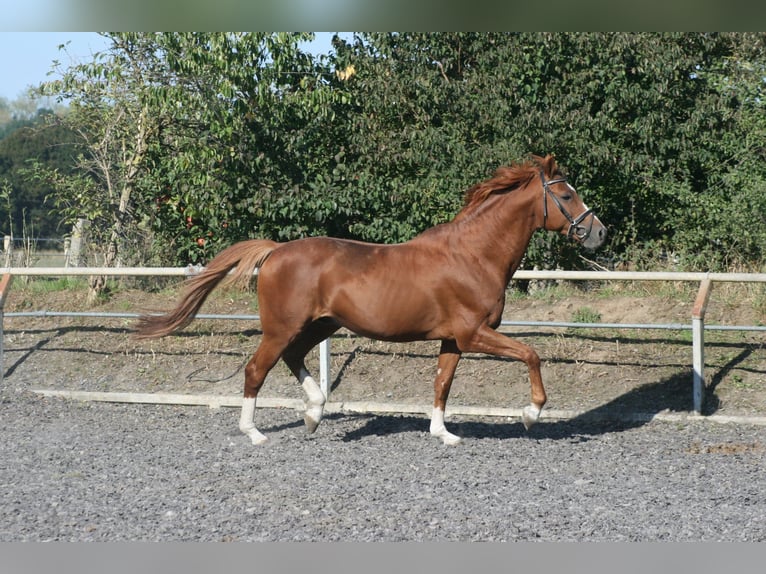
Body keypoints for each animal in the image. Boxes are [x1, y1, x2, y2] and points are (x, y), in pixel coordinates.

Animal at [135, 154, 606, 445]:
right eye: (566, 195)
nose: (599, 233)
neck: (472, 255)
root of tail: (275, 250)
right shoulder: (475, 333)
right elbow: (531, 355)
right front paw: (531, 414)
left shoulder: (454, 339)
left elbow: (442, 383)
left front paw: (444, 434)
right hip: (284, 326)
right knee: (257, 369)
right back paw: (255, 432)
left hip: (321, 324)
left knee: (293, 357)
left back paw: (314, 413)